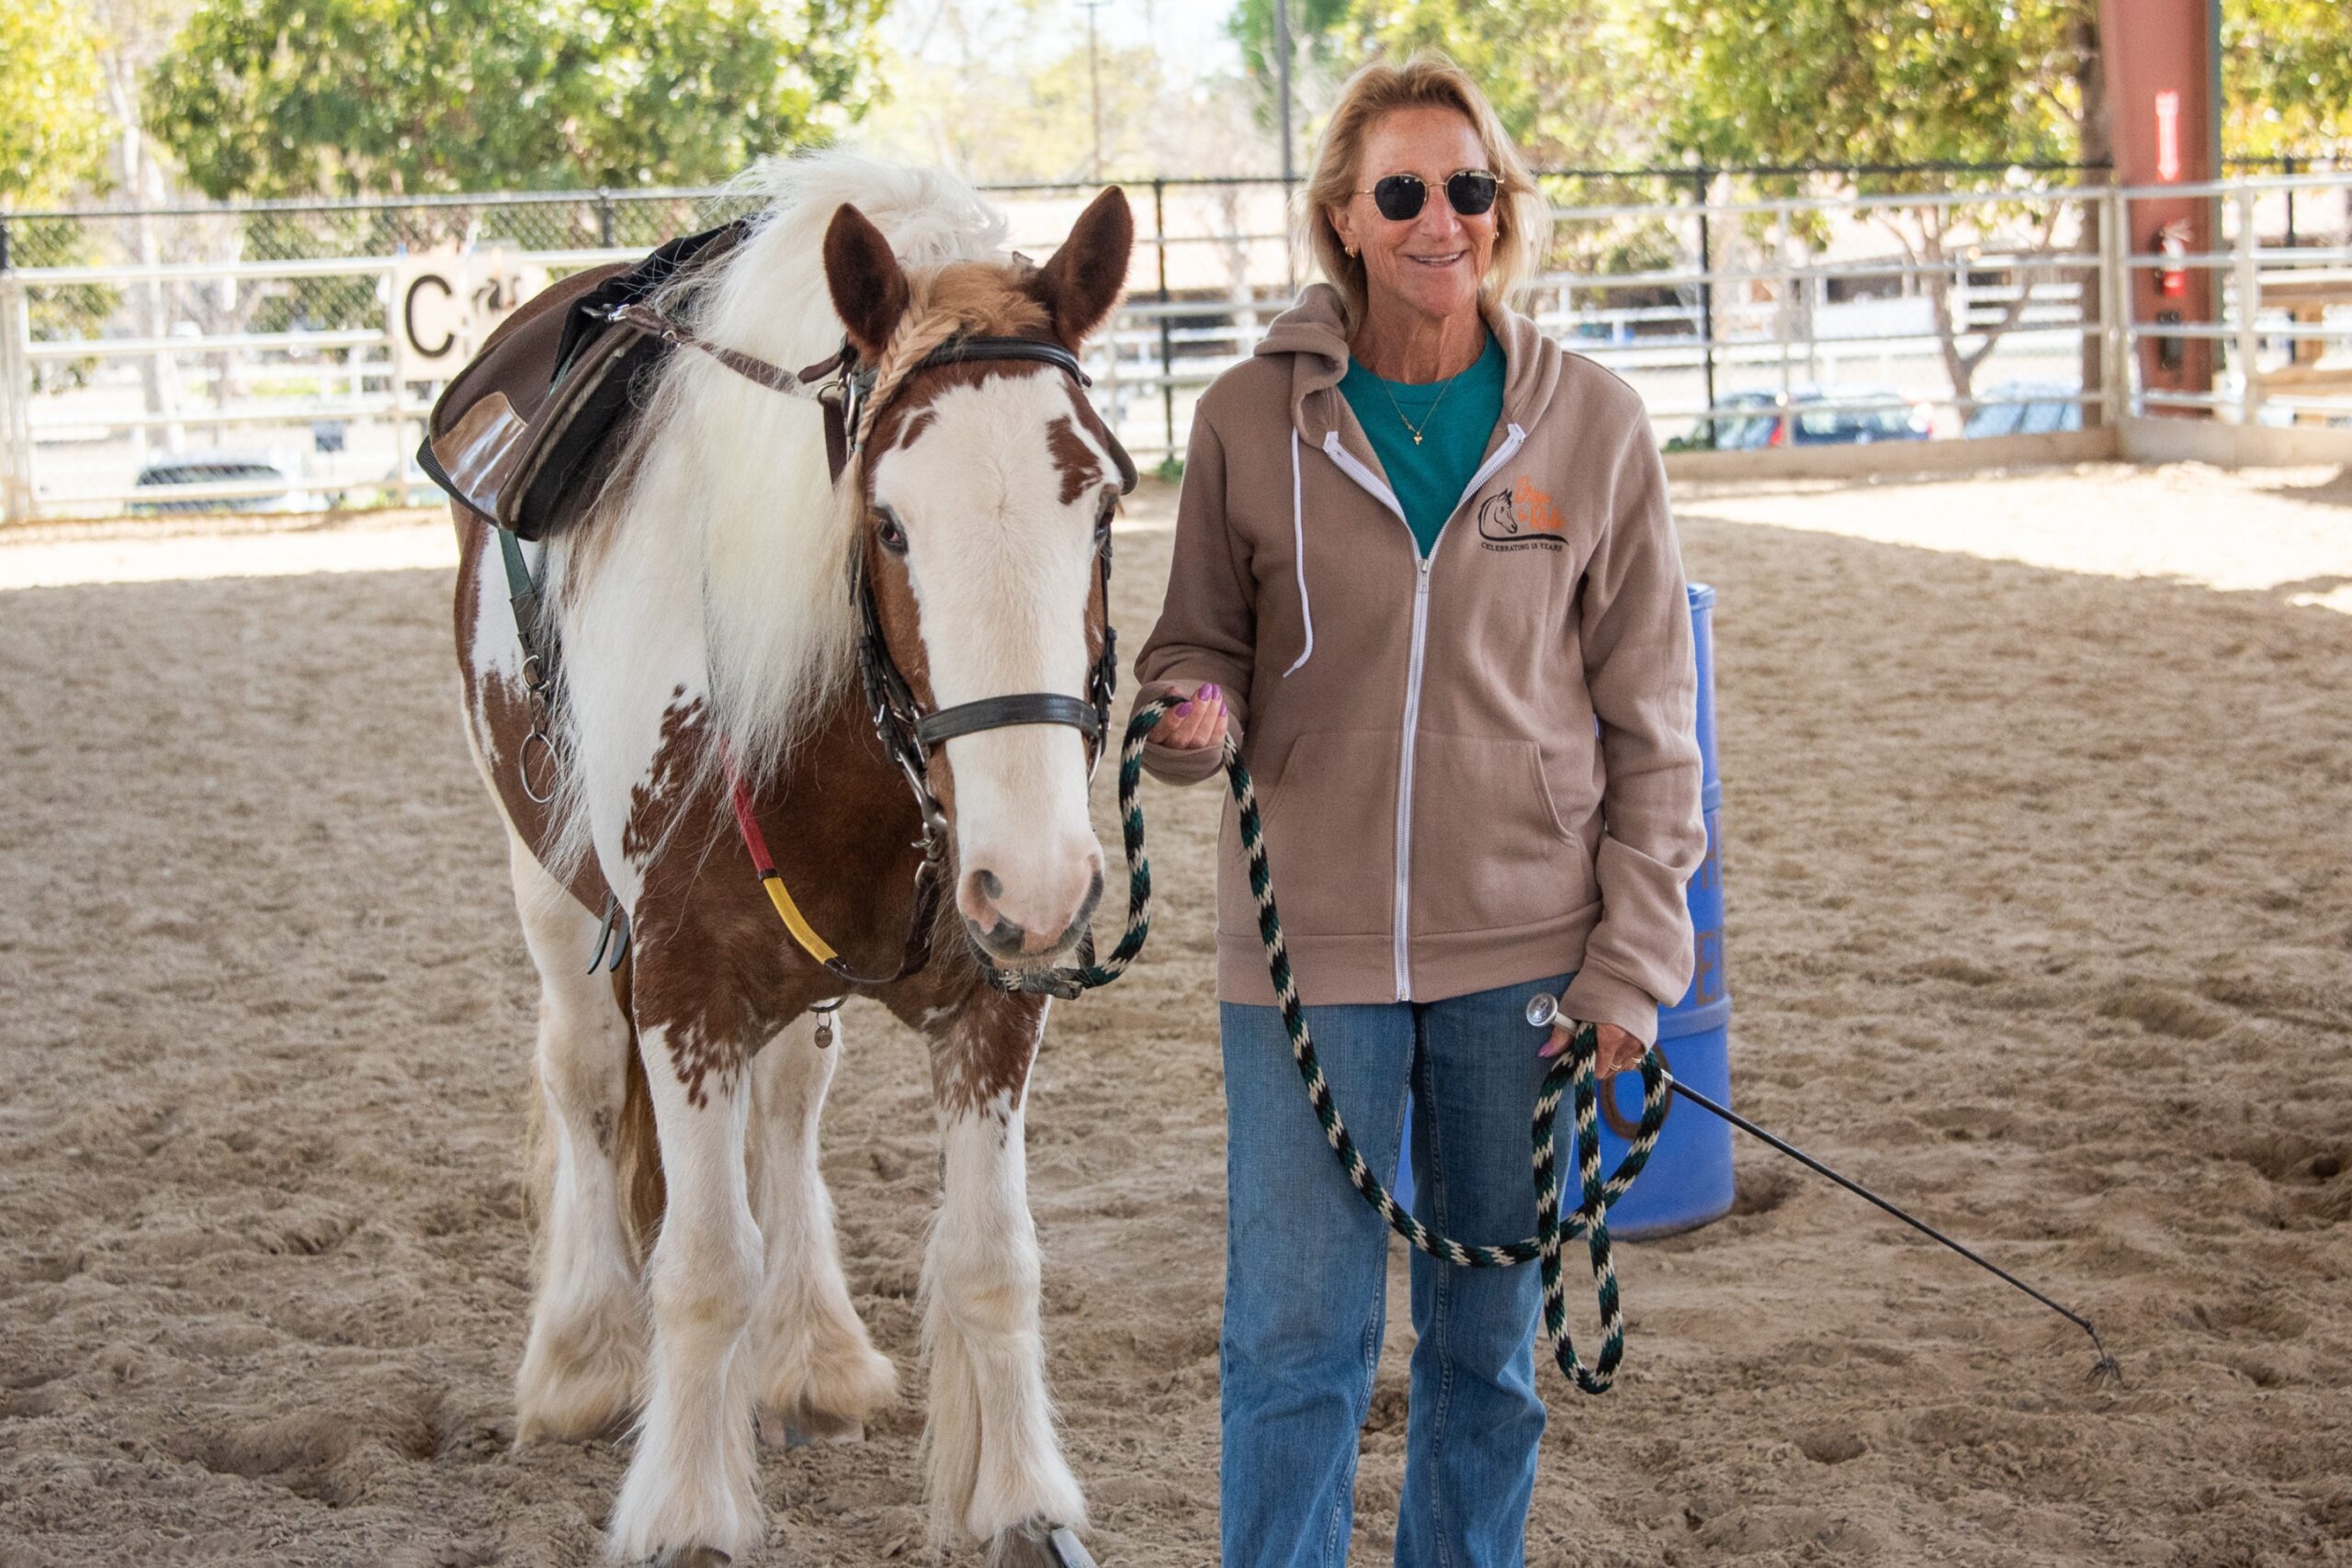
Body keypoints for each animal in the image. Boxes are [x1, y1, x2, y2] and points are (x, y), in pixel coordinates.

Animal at [451, 154, 1138, 1566]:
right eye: (890, 522)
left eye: (1101, 505)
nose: (1038, 882)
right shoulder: (685, 987)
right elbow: (703, 1264)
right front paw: (684, 1508)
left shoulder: (995, 997)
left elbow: (994, 1257)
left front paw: (1020, 1495)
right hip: (549, 890)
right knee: (583, 1081)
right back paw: (583, 1357)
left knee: (788, 1101)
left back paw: (810, 1347)